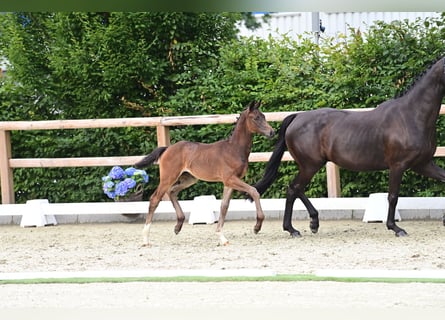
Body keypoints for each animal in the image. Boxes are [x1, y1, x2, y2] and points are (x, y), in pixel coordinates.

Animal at [135, 101, 274, 246]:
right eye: (256, 118)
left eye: (264, 116)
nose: (272, 132)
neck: (234, 149)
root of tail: (167, 148)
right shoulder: (230, 179)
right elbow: (254, 191)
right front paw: (257, 226)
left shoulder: (230, 182)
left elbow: (224, 206)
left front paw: (221, 237)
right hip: (168, 177)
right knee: (155, 199)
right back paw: (145, 238)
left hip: (189, 179)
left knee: (172, 191)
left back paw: (178, 225)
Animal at [251, 57, 444, 238]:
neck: (410, 116)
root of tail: (297, 117)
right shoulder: (398, 165)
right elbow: (393, 197)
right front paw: (396, 228)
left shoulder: (422, 164)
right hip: (310, 165)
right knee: (293, 189)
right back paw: (292, 229)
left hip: (310, 165)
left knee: (297, 189)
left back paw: (313, 223)